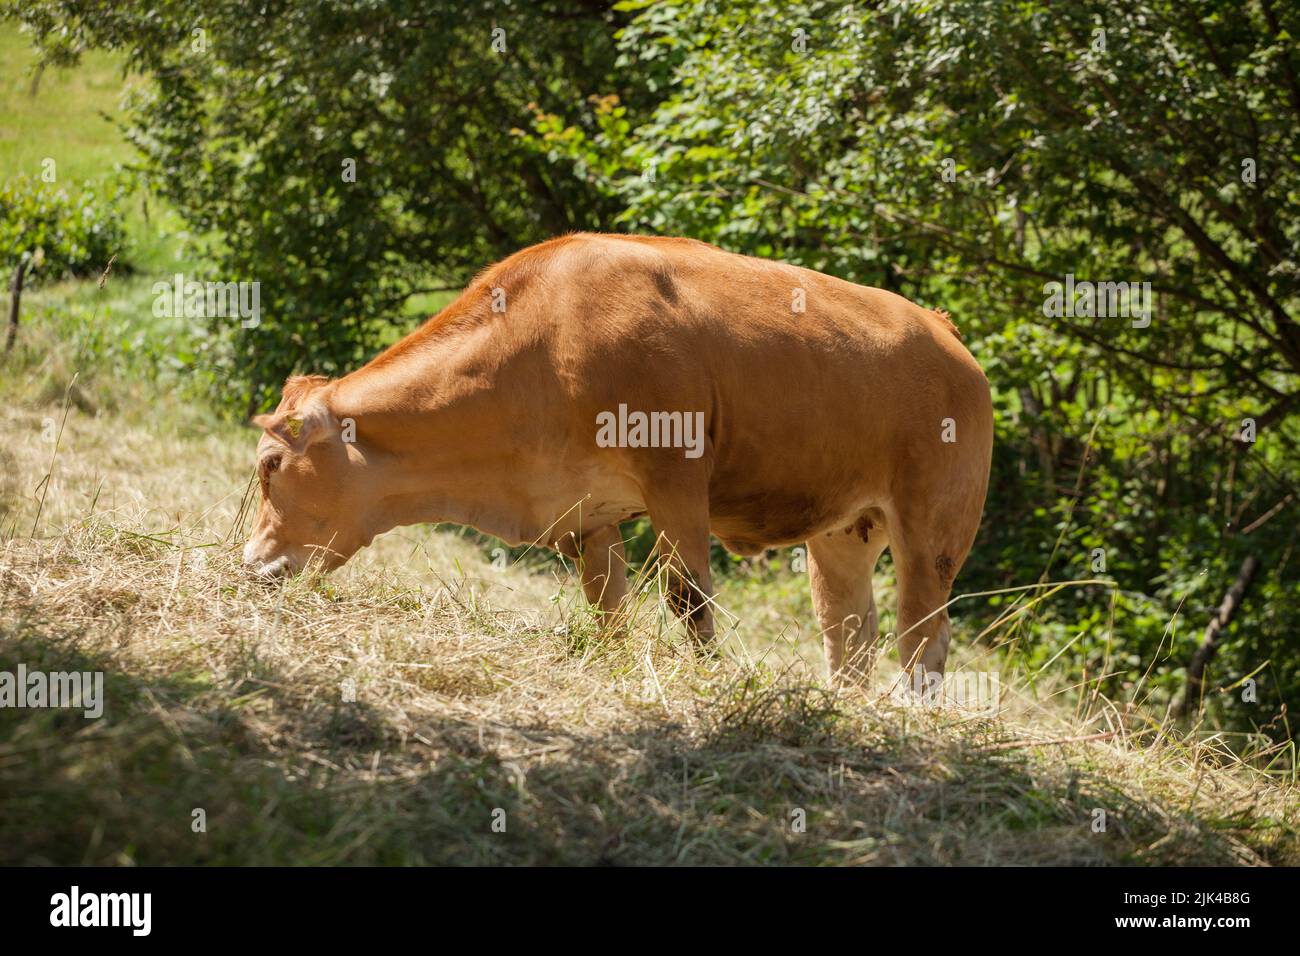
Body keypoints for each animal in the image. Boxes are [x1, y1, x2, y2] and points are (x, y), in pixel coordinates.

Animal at [245, 234, 993, 681]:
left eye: (270, 466)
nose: (250, 562)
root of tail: (940, 329)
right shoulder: (585, 513)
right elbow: (608, 608)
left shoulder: (676, 480)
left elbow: (689, 598)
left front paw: (704, 684)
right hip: (843, 533)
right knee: (849, 636)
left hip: (933, 531)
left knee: (923, 641)